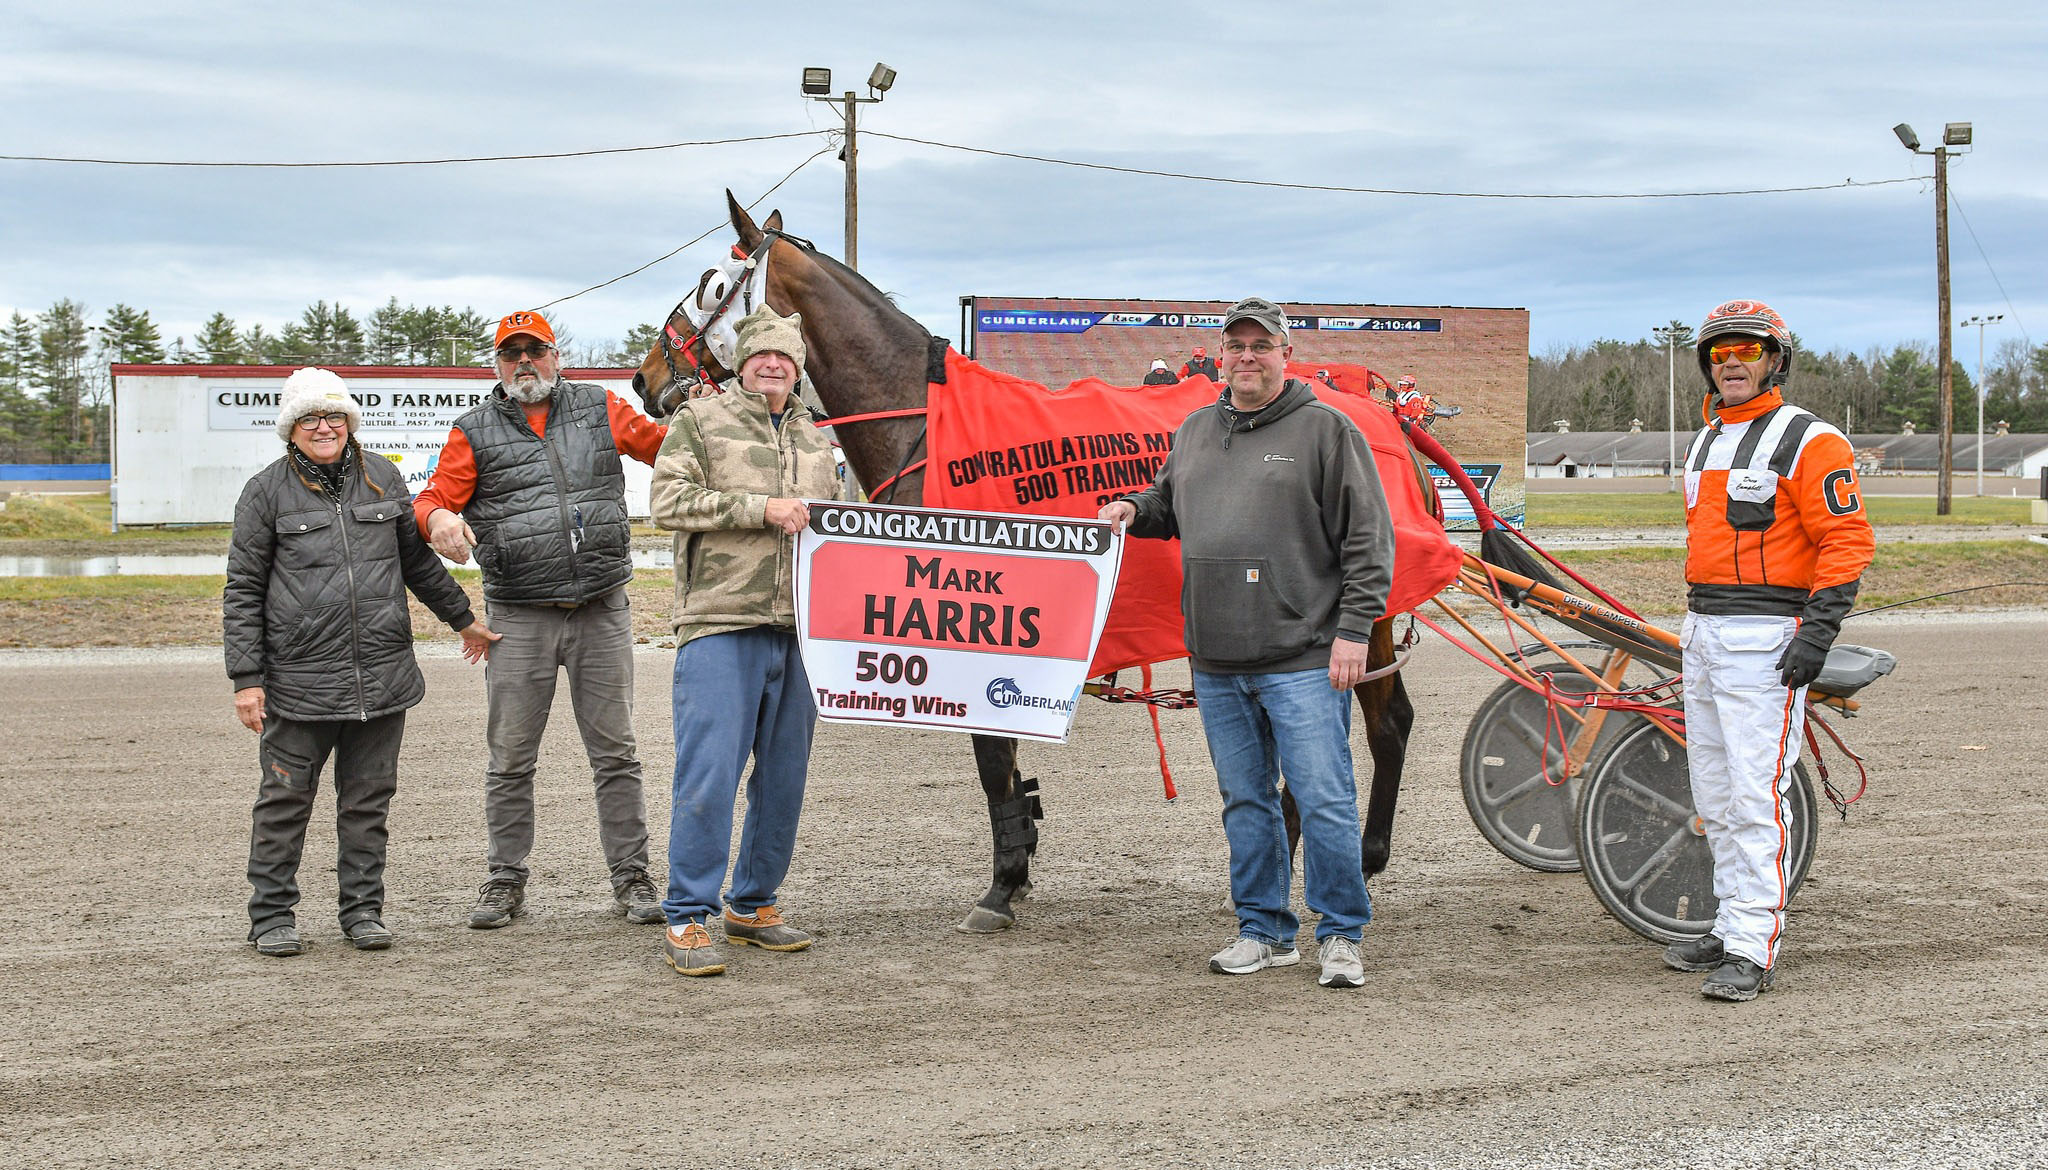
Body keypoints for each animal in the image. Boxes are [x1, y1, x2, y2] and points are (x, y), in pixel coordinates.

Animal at [630, 196, 1417, 938]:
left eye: (711, 282)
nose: (643, 376)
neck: (927, 426)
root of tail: (1381, 412)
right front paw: (1020, 860)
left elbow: (993, 762)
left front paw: (1003, 884)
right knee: (1387, 722)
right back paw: (1361, 854)